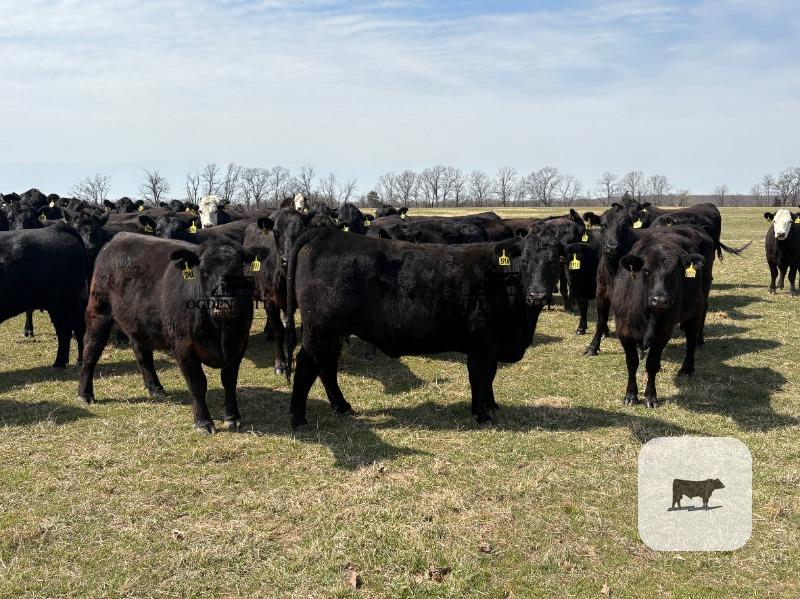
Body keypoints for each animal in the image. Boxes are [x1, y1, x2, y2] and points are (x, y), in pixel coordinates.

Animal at [0, 225, 88, 367]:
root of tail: (56, 227)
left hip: (60, 304)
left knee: (65, 331)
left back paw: (59, 363)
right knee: (77, 326)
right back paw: (78, 360)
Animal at [77, 234, 259, 433]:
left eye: (238, 270)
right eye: (204, 270)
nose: (224, 304)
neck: (220, 331)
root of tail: (118, 237)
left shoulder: (239, 344)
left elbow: (229, 381)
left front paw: (232, 417)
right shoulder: (184, 348)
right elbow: (197, 384)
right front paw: (203, 422)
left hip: (139, 323)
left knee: (143, 354)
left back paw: (155, 388)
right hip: (98, 313)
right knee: (90, 352)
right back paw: (85, 394)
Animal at [282, 227, 564, 427]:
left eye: (555, 260)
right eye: (524, 261)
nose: (537, 295)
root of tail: (325, 232)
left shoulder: (493, 345)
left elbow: (490, 377)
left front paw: (492, 406)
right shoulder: (482, 345)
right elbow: (479, 377)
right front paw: (480, 415)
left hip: (333, 331)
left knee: (327, 366)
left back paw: (342, 406)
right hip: (321, 329)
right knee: (307, 364)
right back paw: (297, 417)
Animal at [611, 227, 715, 407]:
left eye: (675, 272)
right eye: (646, 270)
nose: (659, 300)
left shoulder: (663, 332)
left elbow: (651, 364)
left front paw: (650, 397)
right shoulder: (623, 330)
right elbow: (632, 363)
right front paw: (631, 395)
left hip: (695, 310)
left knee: (691, 339)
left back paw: (686, 369)